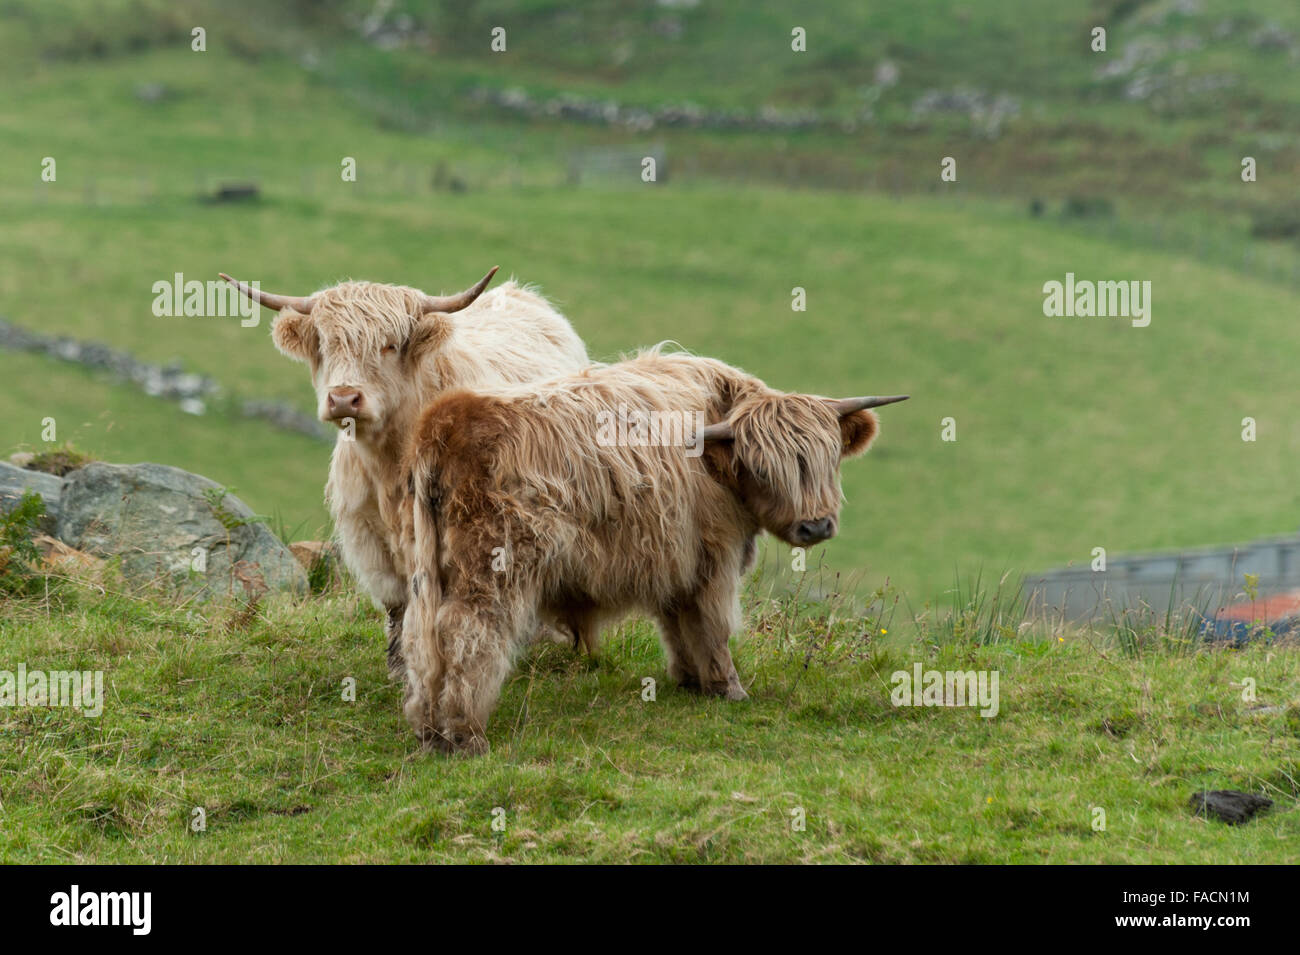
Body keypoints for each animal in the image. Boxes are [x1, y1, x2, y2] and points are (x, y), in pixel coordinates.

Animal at [223, 267, 590, 670]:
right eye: (326, 344)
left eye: (390, 345)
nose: (344, 399)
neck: (390, 464)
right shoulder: (367, 533)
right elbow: (397, 602)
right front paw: (399, 664)